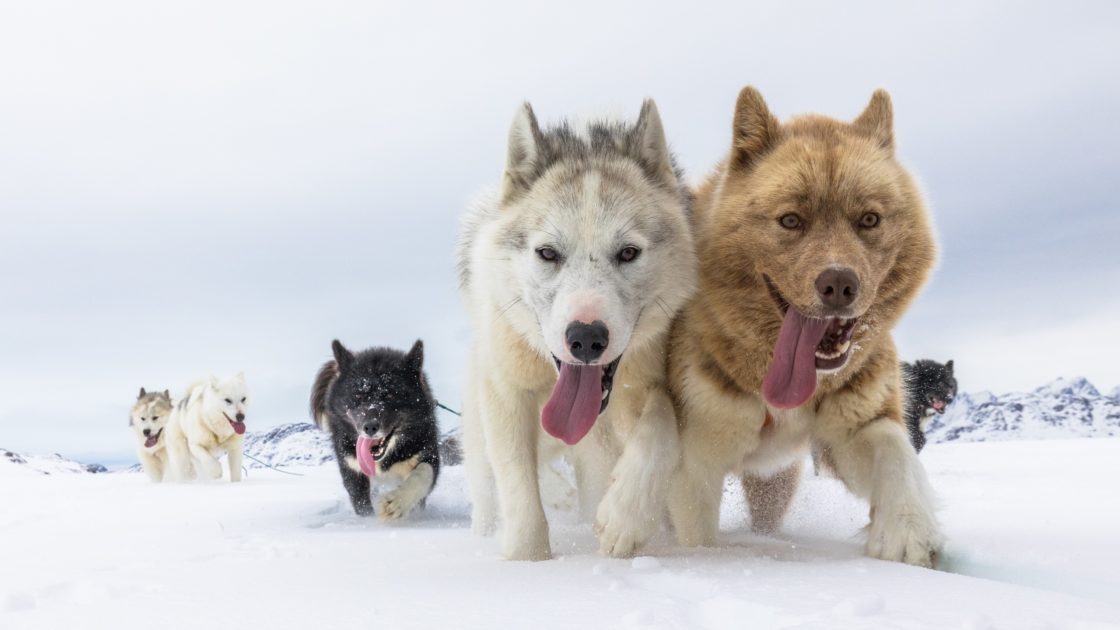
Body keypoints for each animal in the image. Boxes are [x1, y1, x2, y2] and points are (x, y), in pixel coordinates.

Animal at [315, 338, 441, 515]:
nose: (370, 427)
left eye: (390, 394)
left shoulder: (427, 452)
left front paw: (398, 501)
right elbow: (361, 504)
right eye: (358, 395)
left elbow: (423, 474)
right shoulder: (351, 467)